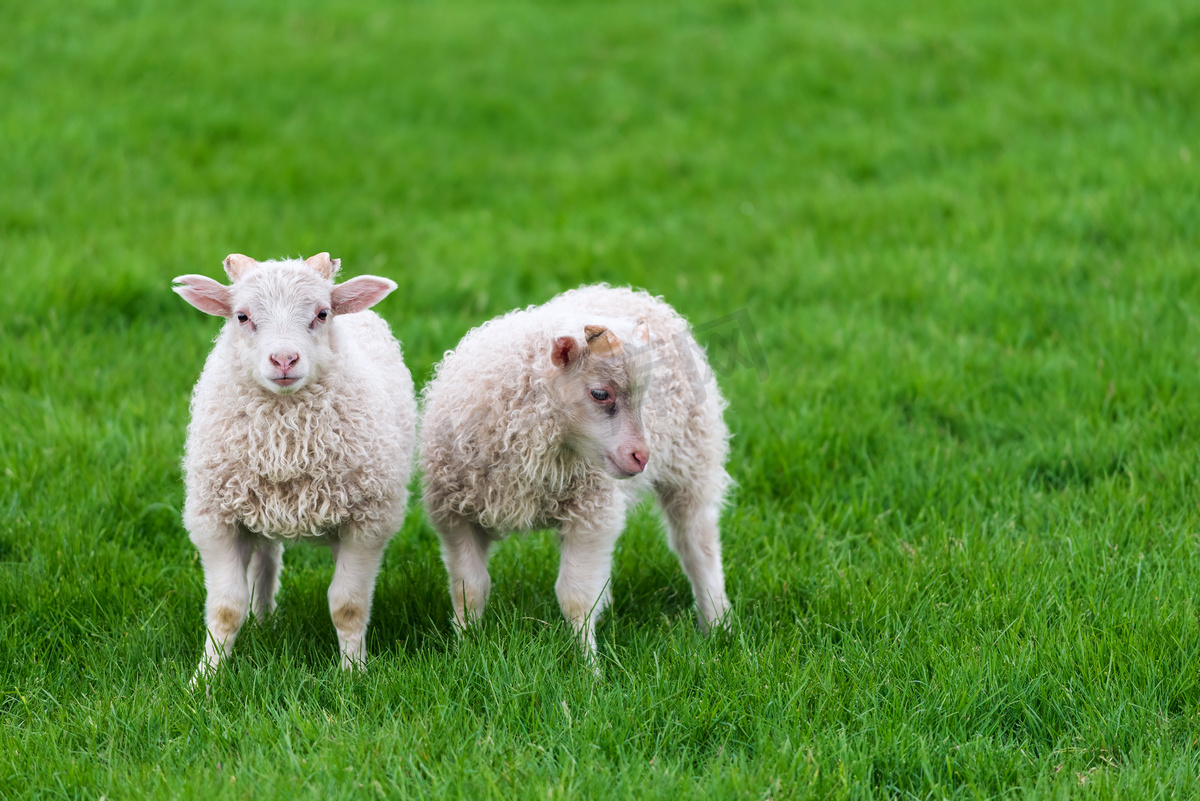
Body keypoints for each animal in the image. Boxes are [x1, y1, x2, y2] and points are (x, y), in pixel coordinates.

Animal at [417, 284, 729, 661]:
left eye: (644, 397)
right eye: (600, 393)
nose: (641, 457)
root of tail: (624, 291)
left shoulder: (590, 516)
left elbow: (575, 598)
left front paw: (588, 664)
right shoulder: (456, 517)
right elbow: (469, 590)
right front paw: (464, 649)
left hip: (693, 464)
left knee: (697, 545)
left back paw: (717, 623)